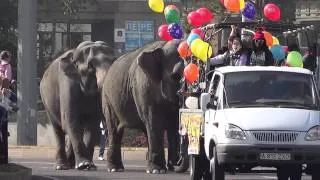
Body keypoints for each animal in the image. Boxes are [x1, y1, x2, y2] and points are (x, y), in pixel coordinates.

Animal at [39, 40, 115, 170]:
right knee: (58, 130)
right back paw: (61, 166)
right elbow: (70, 120)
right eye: (91, 66)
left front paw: (89, 166)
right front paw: (84, 164)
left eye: (114, 60)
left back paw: (71, 164)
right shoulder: (67, 83)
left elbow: (92, 125)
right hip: (46, 101)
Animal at [101, 39, 184, 173]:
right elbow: (155, 121)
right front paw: (157, 171)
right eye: (175, 76)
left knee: (146, 130)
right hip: (108, 98)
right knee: (115, 129)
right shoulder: (145, 88)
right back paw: (115, 169)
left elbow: (174, 123)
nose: (176, 163)